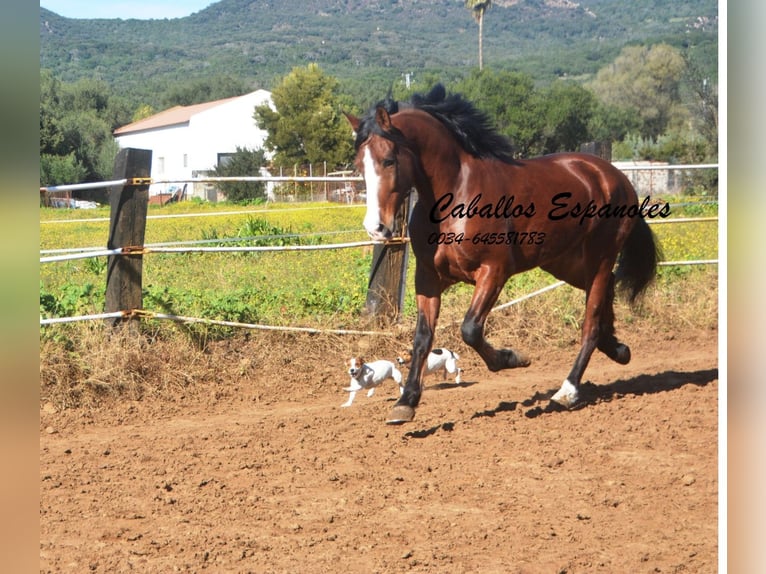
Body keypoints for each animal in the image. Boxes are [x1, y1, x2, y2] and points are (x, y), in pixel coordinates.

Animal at [346, 86, 660, 428]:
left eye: (389, 160)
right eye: (359, 165)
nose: (376, 228)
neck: (456, 195)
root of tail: (613, 175)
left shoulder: (493, 271)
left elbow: (470, 329)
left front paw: (513, 358)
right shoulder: (428, 277)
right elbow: (422, 337)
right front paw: (406, 403)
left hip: (599, 257)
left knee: (589, 323)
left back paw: (568, 391)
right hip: (565, 263)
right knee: (607, 292)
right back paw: (618, 349)